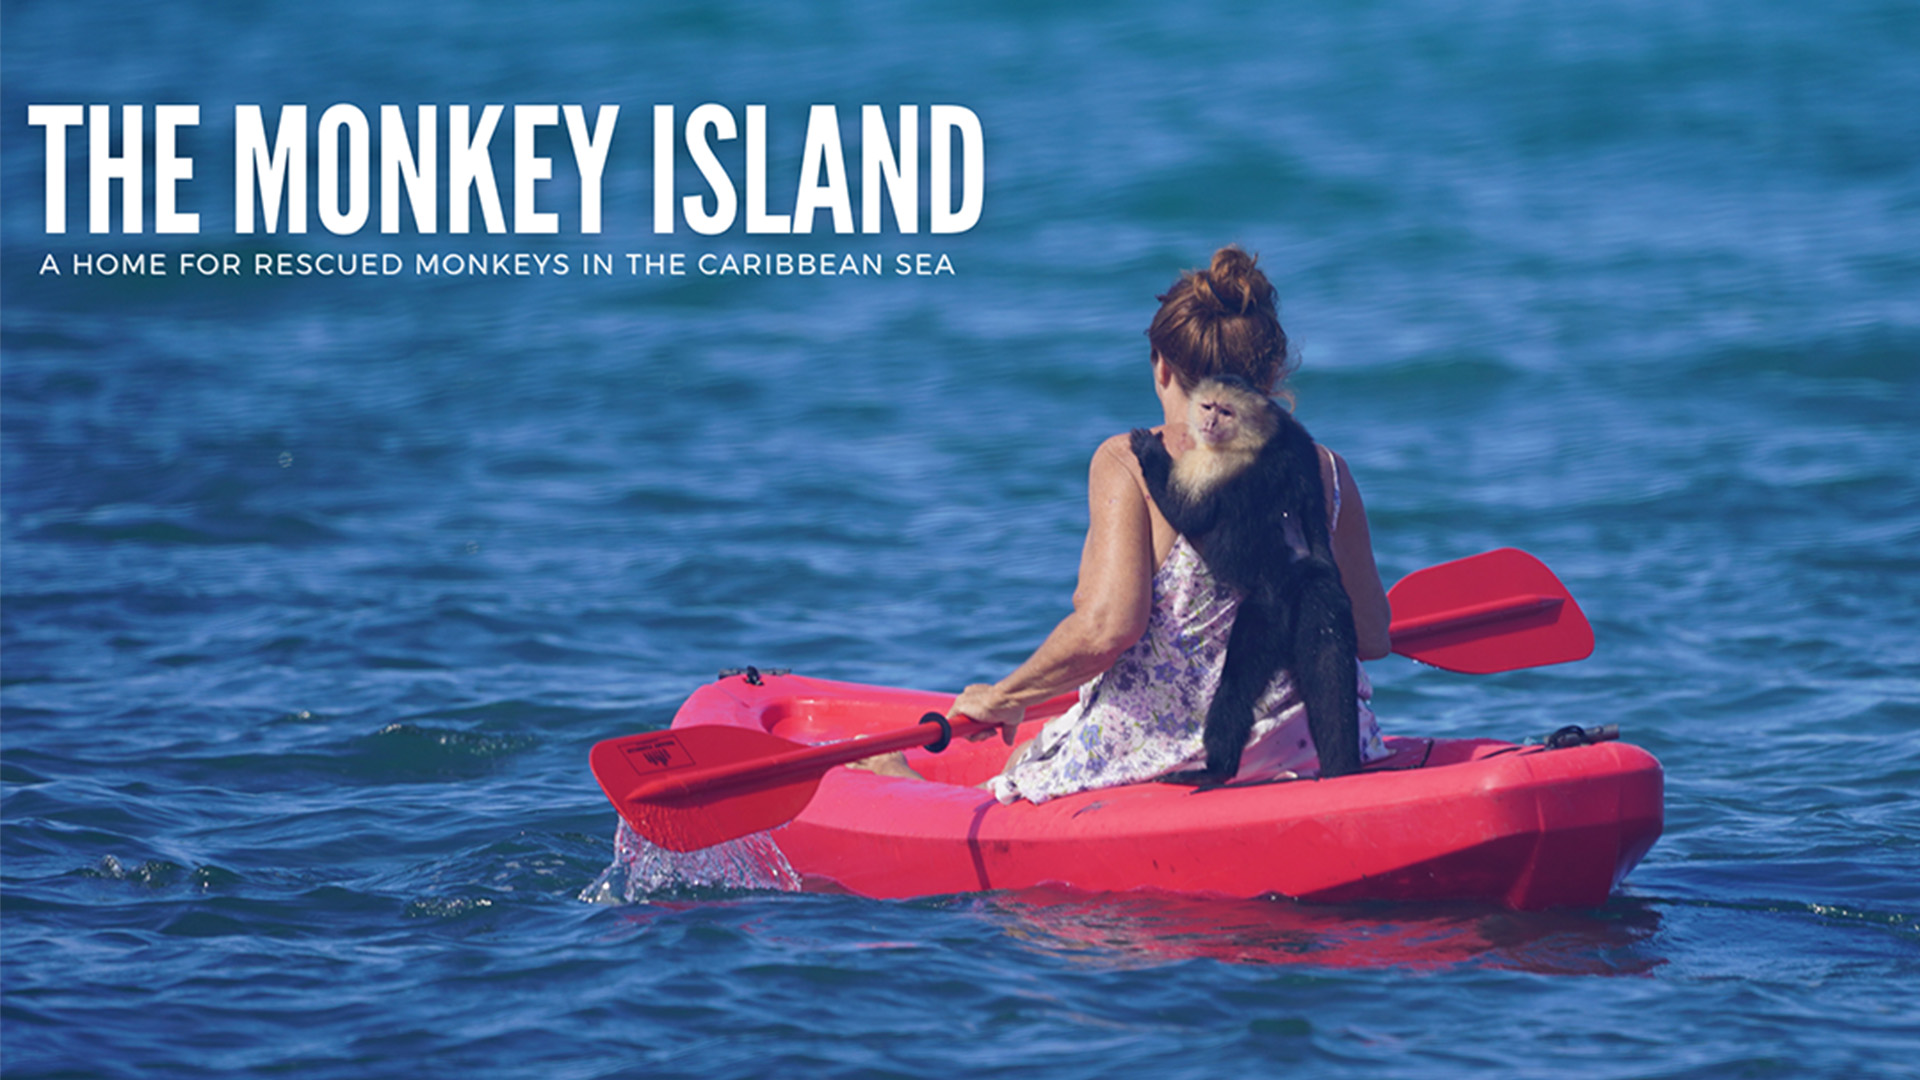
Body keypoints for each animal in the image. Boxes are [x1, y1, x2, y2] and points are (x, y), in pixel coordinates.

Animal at [1129, 374, 1363, 782]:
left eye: (1226, 411)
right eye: (1209, 406)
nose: (1209, 423)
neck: (1259, 436)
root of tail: (1297, 577)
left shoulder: (1215, 462)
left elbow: (1187, 513)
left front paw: (1148, 450)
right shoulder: (1295, 434)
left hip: (1265, 613)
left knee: (1236, 685)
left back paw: (1214, 769)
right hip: (1324, 598)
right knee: (1329, 666)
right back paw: (1343, 765)